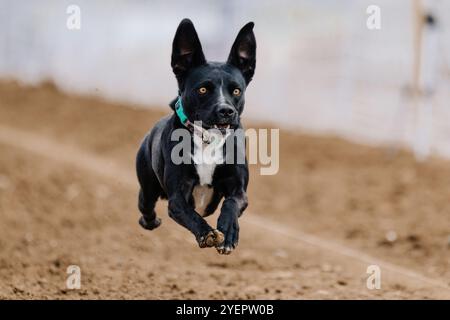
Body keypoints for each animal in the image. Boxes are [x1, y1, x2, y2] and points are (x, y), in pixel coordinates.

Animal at [134, 19, 256, 255]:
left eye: (236, 91)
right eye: (202, 90)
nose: (226, 111)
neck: (208, 139)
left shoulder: (239, 190)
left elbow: (231, 204)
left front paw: (228, 233)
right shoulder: (177, 197)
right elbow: (190, 214)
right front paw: (206, 233)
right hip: (148, 185)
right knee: (145, 203)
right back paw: (150, 221)